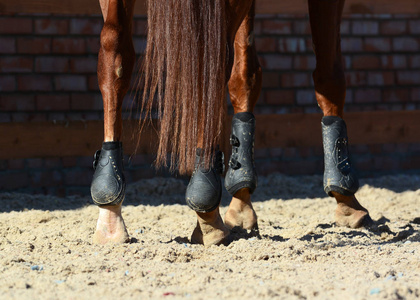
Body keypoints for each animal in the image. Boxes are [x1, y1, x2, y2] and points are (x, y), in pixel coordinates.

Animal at [91, 0, 370, 246]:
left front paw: (240, 203)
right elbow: (329, 76)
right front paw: (347, 202)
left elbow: (244, 76)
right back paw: (207, 216)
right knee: (207, 60)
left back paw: (110, 217)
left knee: (113, 51)